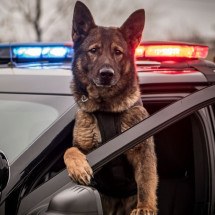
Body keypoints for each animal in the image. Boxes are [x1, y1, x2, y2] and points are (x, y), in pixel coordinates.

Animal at [63, 1, 158, 215]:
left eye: (117, 52)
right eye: (94, 50)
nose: (106, 74)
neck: (106, 108)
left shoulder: (143, 150)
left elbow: (146, 180)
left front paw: (145, 207)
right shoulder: (82, 146)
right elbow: (69, 150)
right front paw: (78, 167)